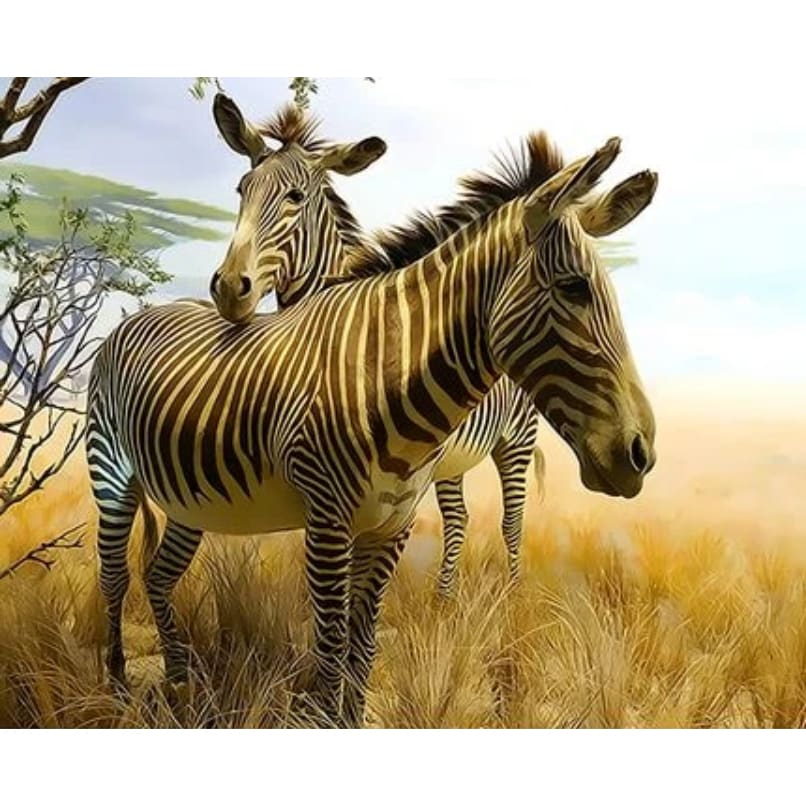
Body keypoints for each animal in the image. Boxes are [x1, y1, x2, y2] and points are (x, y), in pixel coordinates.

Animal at [211, 95, 545, 595]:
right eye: (240, 190)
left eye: (296, 198)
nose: (232, 288)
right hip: (454, 459)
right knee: (459, 519)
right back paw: (444, 599)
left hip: (516, 439)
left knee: (512, 520)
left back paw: (512, 593)